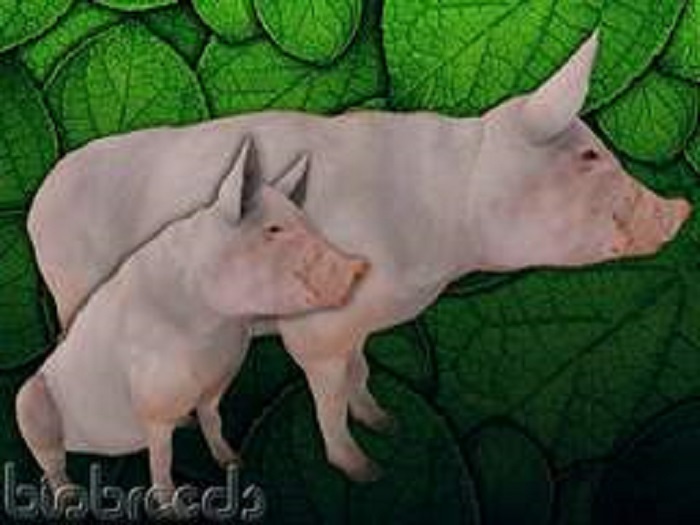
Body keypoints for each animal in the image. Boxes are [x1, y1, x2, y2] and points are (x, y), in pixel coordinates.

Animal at [15, 138, 370, 505]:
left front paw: (233, 463)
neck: (213, 331)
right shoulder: (154, 401)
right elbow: (162, 458)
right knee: (51, 462)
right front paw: (175, 508)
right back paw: (70, 498)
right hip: (27, 403)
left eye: (307, 222)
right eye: (273, 229)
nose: (359, 265)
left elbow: (213, 420)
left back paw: (186, 423)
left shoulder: (219, 377)